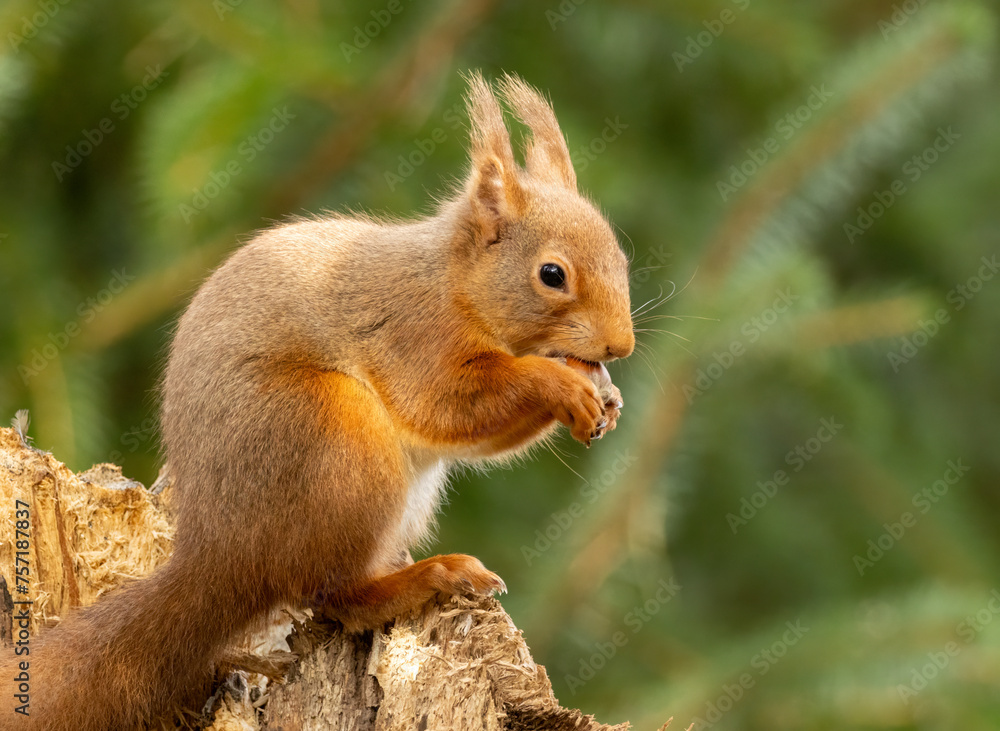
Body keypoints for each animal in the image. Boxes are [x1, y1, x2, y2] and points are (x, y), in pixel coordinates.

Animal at [3, 74, 632, 731]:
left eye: (621, 256)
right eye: (552, 274)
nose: (623, 345)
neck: (454, 284)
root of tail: (223, 551)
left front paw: (606, 395)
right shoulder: (412, 335)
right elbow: (449, 406)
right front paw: (562, 385)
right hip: (338, 440)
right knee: (336, 595)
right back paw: (429, 577)